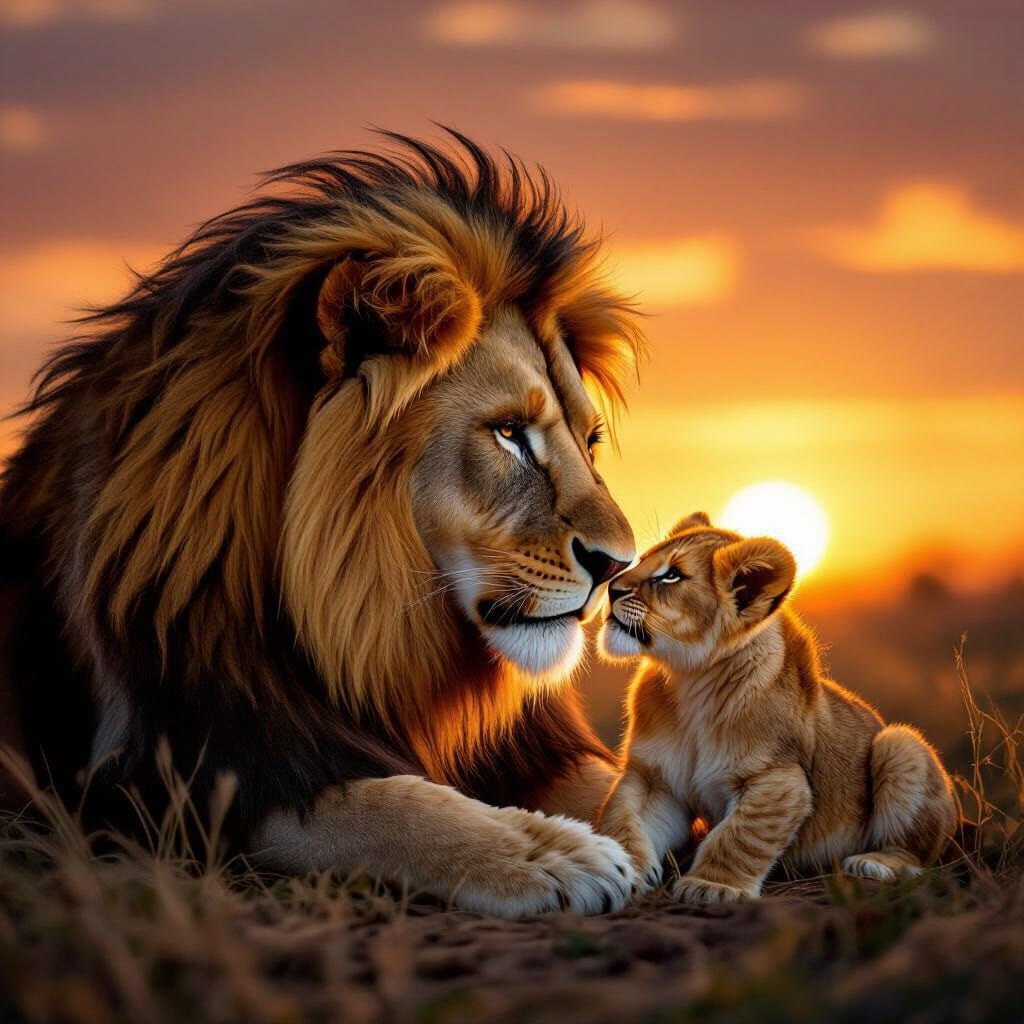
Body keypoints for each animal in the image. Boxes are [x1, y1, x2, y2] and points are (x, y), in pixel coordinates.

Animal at [0, 130, 643, 917]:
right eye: (509, 433)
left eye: (589, 441)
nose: (618, 566)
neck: (369, 635)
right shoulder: (179, 784)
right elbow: (396, 808)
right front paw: (557, 856)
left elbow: (620, 781)